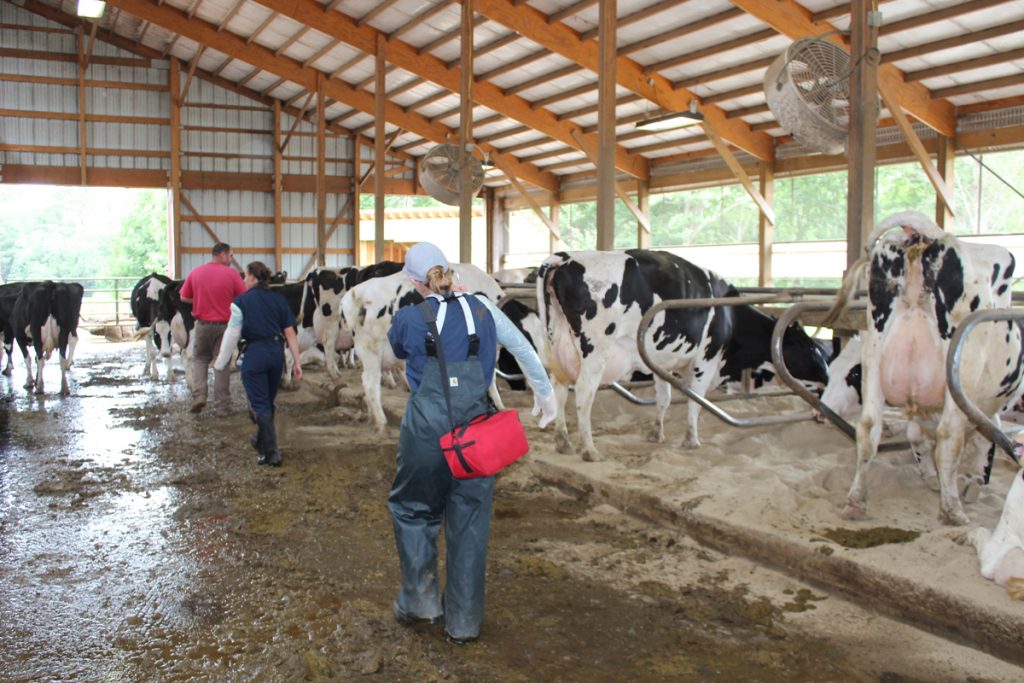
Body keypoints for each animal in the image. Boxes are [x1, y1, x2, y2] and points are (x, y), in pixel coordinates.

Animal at [540, 248, 827, 462]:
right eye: (812, 348)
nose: (826, 378)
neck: (730, 315)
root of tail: (564, 259)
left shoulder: (660, 359)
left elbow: (664, 398)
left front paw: (656, 434)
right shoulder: (707, 358)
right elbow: (695, 400)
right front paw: (691, 440)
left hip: (557, 345)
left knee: (559, 389)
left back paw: (563, 442)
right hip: (595, 351)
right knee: (583, 394)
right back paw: (589, 450)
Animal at [823, 210, 1024, 528]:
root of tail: (924, 236)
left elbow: (916, 437)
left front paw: (931, 476)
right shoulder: (982, 412)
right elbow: (981, 447)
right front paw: (969, 484)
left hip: (874, 356)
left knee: (868, 430)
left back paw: (855, 502)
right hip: (960, 372)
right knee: (948, 437)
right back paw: (953, 511)